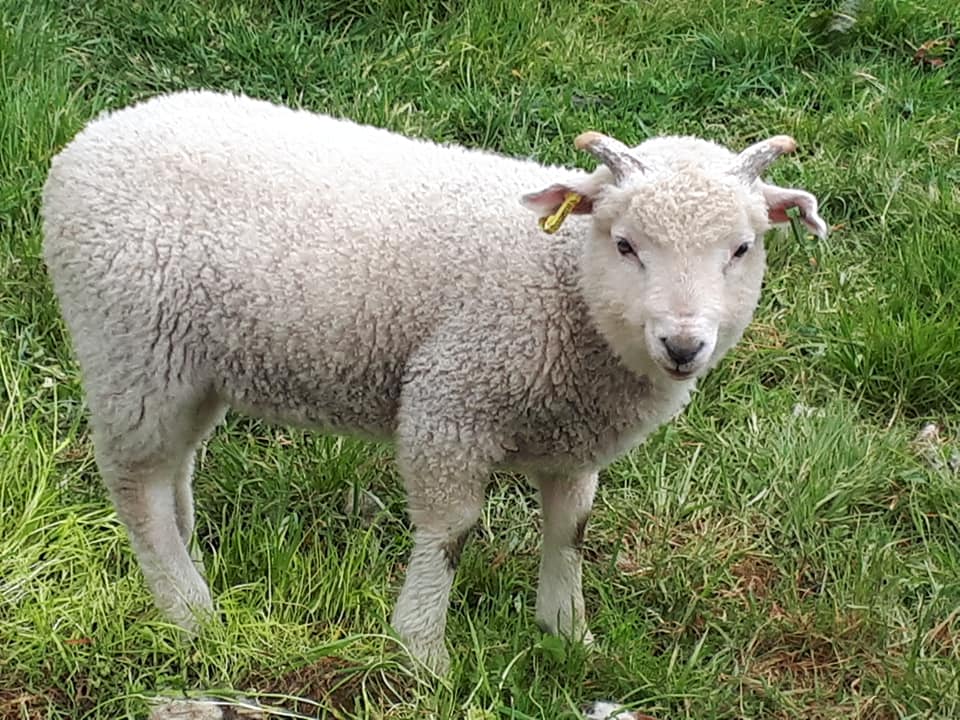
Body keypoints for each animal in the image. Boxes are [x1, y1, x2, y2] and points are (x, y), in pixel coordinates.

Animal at [41, 90, 824, 676]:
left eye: (742, 248)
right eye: (625, 244)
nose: (684, 345)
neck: (564, 285)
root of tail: (91, 139)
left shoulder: (574, 437)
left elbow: (570, 530)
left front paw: (568, 633)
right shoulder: (451, 400)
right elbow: (451, 532)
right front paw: (421, 650)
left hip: (191, 364)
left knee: (174, 469)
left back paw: (192, 564)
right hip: (129, 346)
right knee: (136, 484)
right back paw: (188, 611)